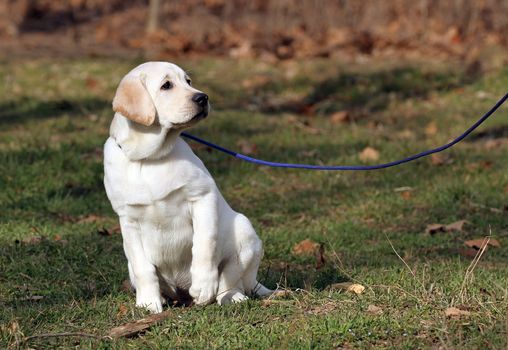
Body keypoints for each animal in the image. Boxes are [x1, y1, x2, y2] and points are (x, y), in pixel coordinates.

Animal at [101, 61, 272, 314]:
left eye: (188, 81)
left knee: (230, 280)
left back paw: (231, 296)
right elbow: (143, 268)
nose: (203, 97)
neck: (149, 159)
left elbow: (204, 244)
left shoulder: (202, 197)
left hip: (244, 232)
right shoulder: (128, 219)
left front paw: (203, 285)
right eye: (166, 85)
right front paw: (148, 303)